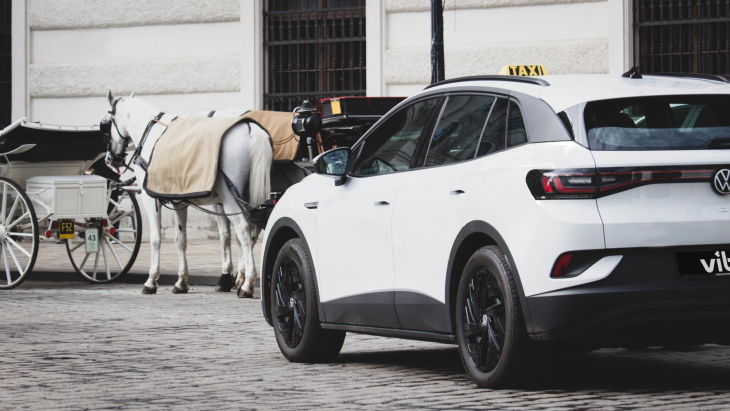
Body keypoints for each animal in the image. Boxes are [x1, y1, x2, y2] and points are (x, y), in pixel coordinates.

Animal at [101, 92, 272, 300]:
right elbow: (180, 239)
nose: (109, 159)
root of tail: (250, 126)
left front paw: (151, 281)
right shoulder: (179, 201)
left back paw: (247, 284)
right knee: (253, 231)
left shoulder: (150, 199)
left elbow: (156, 238)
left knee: (244, 231)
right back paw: (242, 279)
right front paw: (181, 282)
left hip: (230, 197)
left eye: (105, 125)